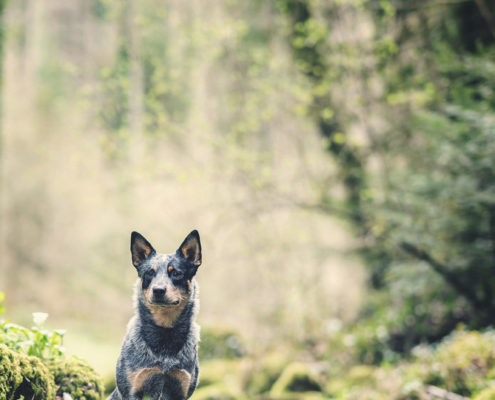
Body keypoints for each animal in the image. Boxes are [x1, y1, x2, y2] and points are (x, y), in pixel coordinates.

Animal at [107, 230, 202, 398]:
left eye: (176, 273)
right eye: (150, 272)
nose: (158, 290)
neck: (165, 333)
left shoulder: (180, 390)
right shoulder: (132, 390)